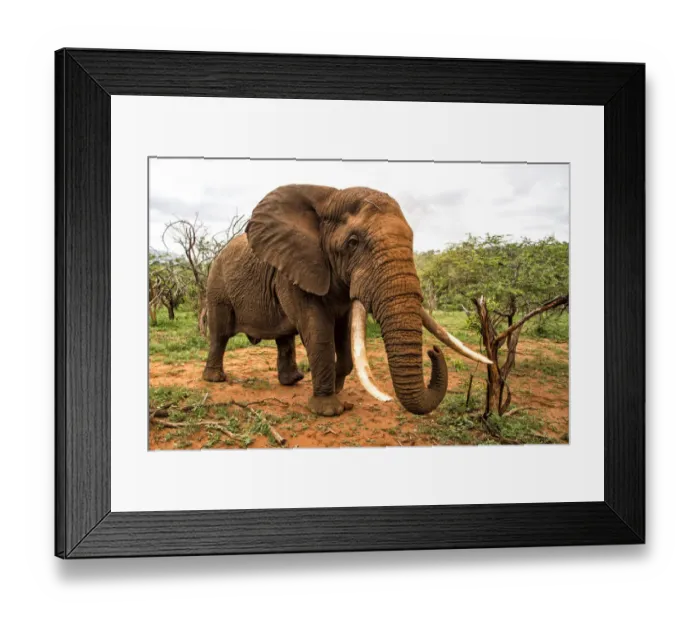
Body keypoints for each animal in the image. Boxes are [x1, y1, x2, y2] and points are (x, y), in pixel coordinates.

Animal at [202, 184, 492, 417]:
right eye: (353, 243)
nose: (434, 351)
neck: (330, 197)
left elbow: (343, 331)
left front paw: (337, 387)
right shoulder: (295, 271)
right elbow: (318, 330)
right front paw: (328, 410)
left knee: (283, 337)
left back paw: (292, 380)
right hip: (216, 285)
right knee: (220, 334)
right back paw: (215, 379)